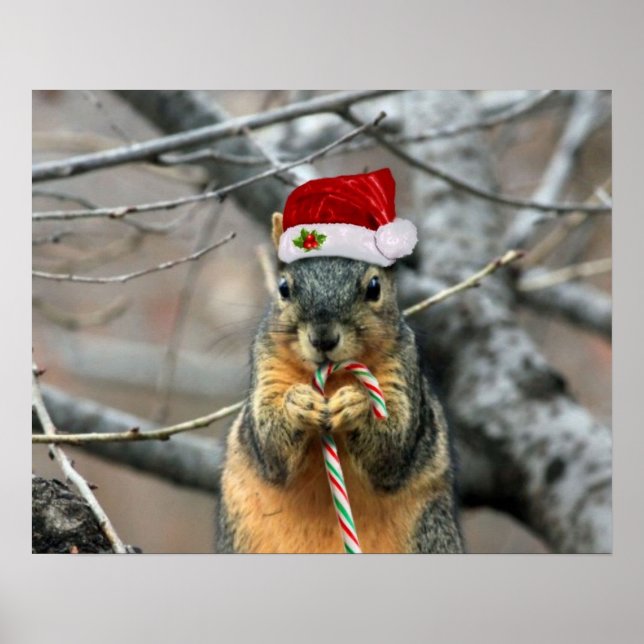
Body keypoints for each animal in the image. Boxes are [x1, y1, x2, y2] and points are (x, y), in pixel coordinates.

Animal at [215, 210, 463, 553]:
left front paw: (356, 404)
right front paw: (298, 404)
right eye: (283, 288)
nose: (323, 338)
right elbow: (269, 444)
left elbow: (393, 446)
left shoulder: (402, 370)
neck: (332, 380)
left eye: (374, 287)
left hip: (431, 535)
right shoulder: (267, 368)